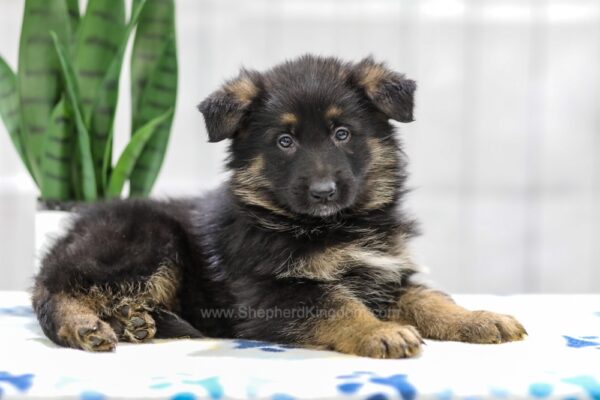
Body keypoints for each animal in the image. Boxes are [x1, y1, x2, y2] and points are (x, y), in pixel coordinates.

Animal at [31, 54, 524, 356]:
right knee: (60, 291)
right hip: (147, 242)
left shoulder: (384, 275)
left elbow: (430, 298)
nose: (324, 191)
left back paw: (134, 321)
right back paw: (88, 326)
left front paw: (480, 320)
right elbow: (336, 304)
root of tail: (68, 233)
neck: (333, 226)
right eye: (285, 141)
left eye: (342, 133)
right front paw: (380, 333)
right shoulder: (270, 292)